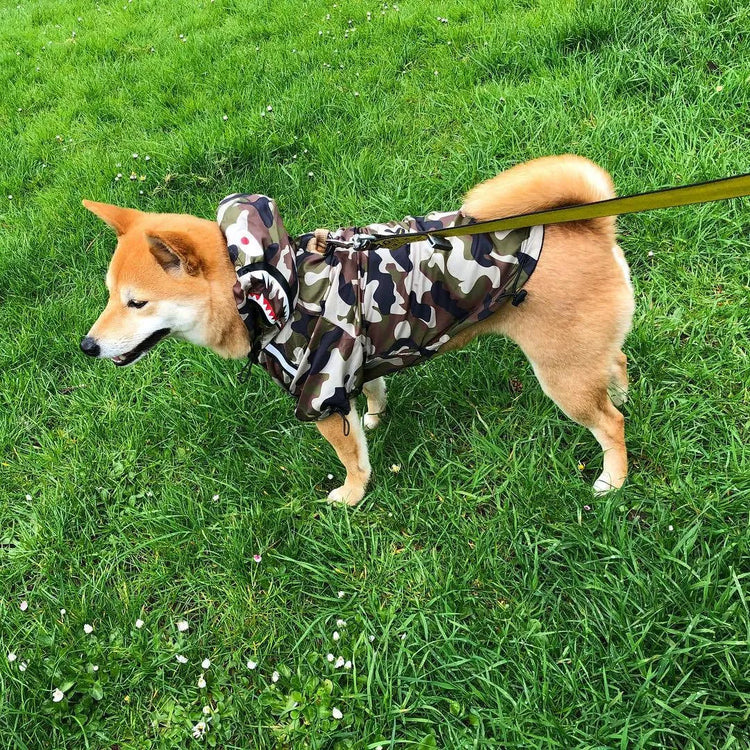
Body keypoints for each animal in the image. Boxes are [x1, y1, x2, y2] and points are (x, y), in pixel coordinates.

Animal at [82, 154, 636, 506]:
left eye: (136, 303)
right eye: (109, 295)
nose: (87, 345)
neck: (262, 280)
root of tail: (589, 225)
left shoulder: (318, 389)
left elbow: (350, 457)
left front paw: (351, 495)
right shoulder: (353, 355)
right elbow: (373, 391)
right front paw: (374, 417)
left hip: (560, 374)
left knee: (610, 425)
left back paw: (612, 478)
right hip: (583, 354)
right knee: (618, 360)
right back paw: (622, 390)